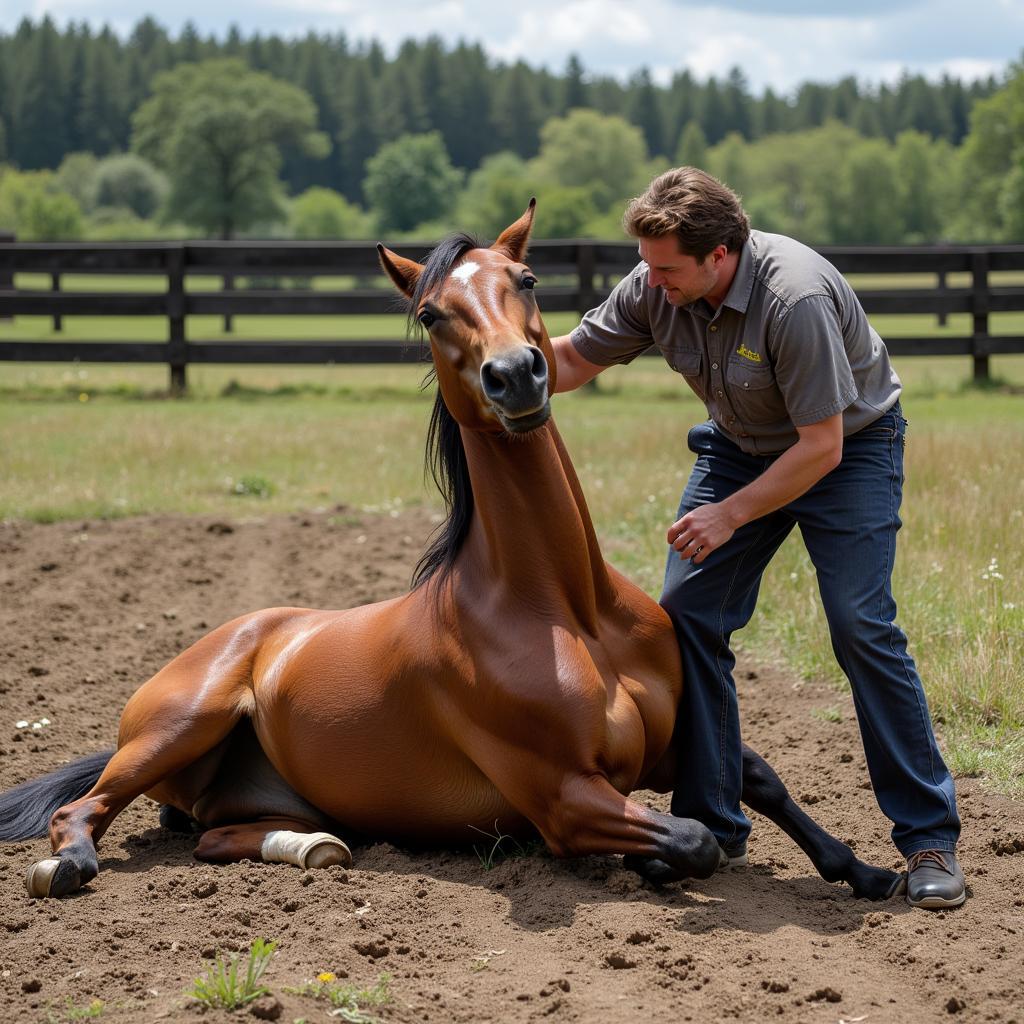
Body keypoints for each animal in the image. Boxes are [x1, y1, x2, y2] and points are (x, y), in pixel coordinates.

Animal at [0, 201, 905, 905]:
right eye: (433, 314)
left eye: (527, 281)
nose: (517, 376)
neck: (567, 607)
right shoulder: (564, 797)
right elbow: (693, 837)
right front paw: (654, 866)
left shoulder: (678, 739)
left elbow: (759, 779)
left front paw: (868, 872)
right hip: (182, 722)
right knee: (83, 811)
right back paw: (66, 867)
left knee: (222, 838)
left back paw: (315, 848)